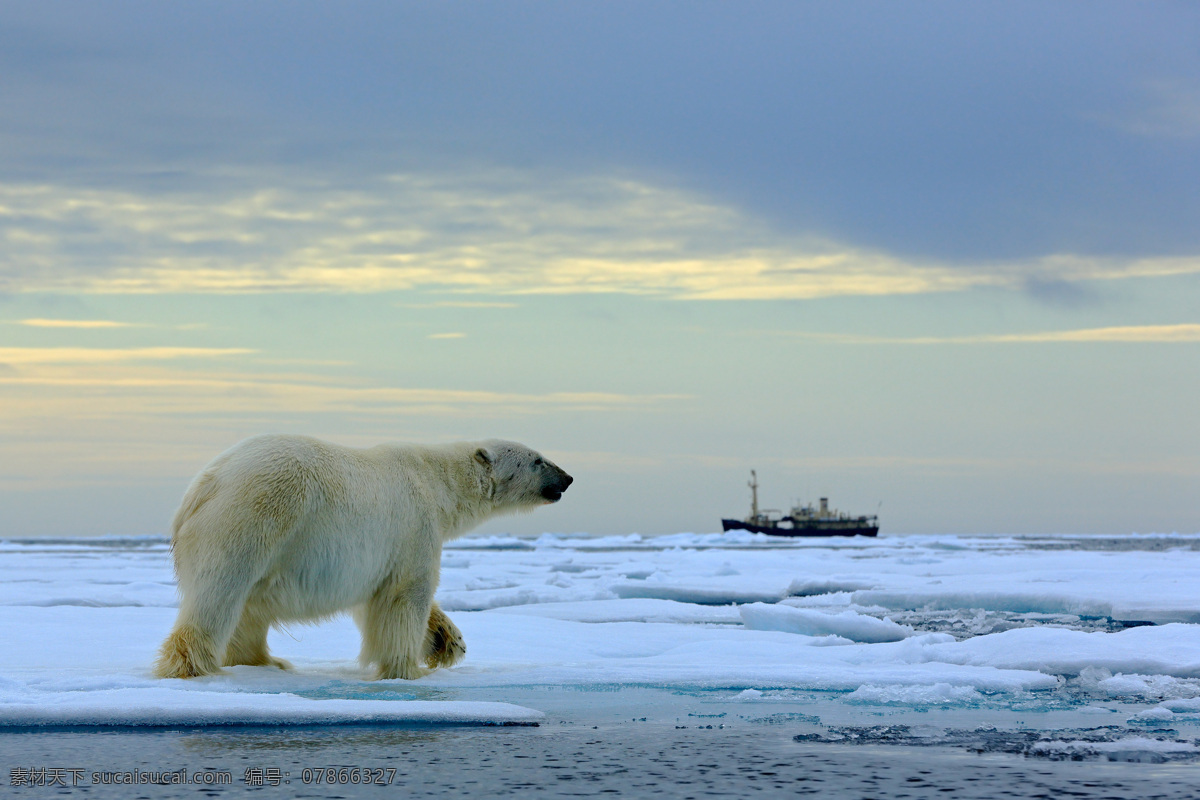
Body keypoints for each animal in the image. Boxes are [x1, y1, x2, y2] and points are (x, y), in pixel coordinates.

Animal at [153, 438, 571, 681]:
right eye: (537, 460)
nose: (567, 478)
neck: (438, 482)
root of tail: (205, 484)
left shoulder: (373, 555)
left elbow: (376, 596)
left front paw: (446, 641)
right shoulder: (414, 524)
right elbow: (407, 595)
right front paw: (407, 668)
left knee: (249, 607)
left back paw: (267, 662)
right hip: (255, 515)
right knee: (221, 593)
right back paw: (193, 665)